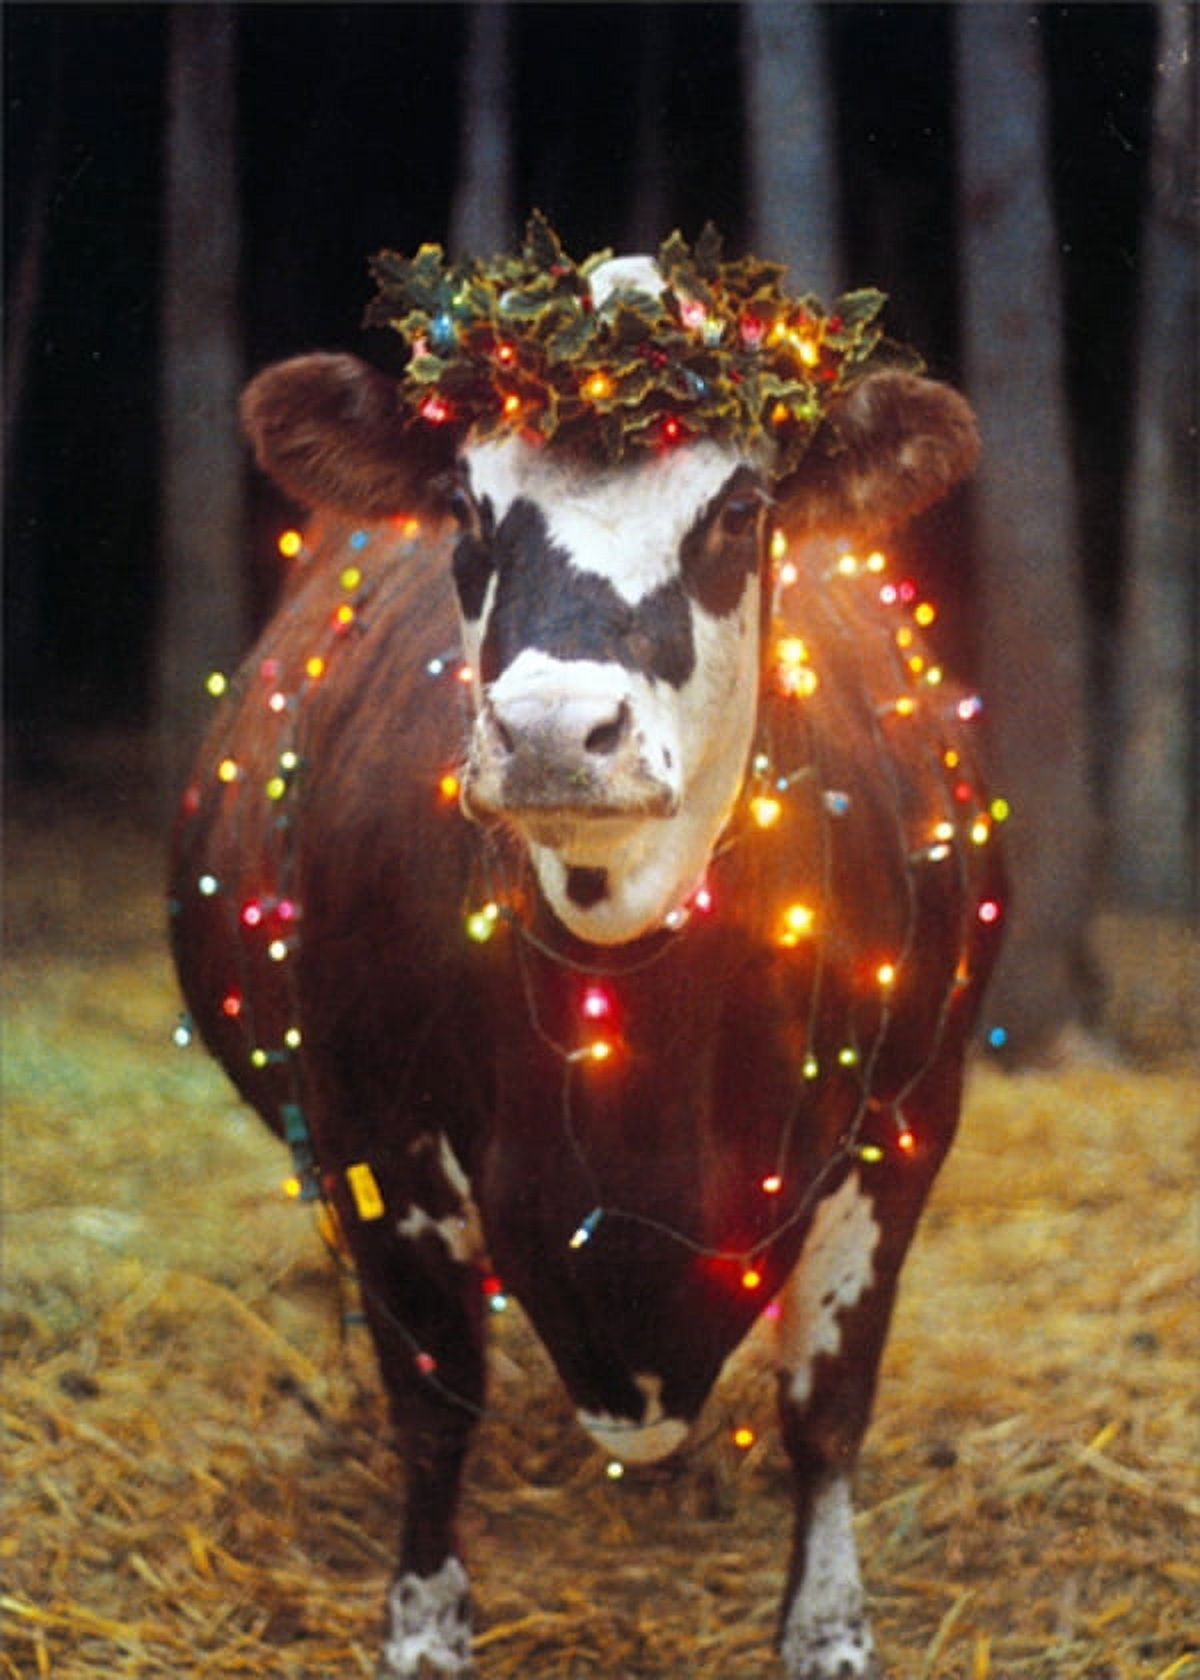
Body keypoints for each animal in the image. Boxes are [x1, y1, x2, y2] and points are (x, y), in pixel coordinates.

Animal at [169, 220, 1005, 1679]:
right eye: (465, 506)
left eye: (740, 508)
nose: (558, 727)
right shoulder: (373, 1125)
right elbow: (435, 1399)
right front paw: (425, 1624)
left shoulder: (908, 1120)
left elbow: (827, 1400)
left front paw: (828, 1625)